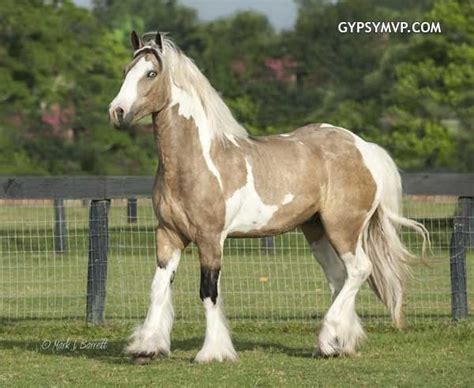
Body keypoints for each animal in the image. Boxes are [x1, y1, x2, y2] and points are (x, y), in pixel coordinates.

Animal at [108, 31, 430, 364]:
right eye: (126, 70)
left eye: (151, 73)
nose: (117, 112)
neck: (197, 162)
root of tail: (363, 148)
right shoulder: (169, 234)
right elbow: (158, 287)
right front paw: (147, 346)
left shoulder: (210, 238)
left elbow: (208, 291)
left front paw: (212, 352)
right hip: (316, 230)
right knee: (339, 277)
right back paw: (336, 344)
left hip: (344, 228)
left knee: (358, 270)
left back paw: (329, 336)